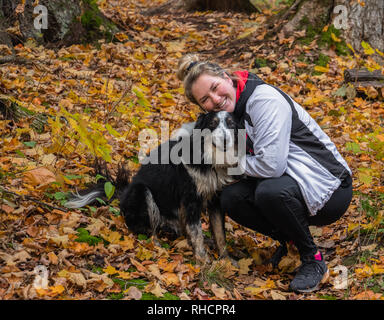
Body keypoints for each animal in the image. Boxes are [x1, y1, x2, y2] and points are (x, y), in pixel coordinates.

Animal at [64, 112, 242, 262]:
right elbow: (196, 233)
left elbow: (220, 233)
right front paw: (203, 262)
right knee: (144, 228)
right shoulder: (191, 199)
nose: (225, 140)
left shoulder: (215, 200)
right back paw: (155, 245)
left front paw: (226, 260)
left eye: (231, 124)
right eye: (213, 123)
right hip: (142, 192)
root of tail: (123, 194)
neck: (209, 160)